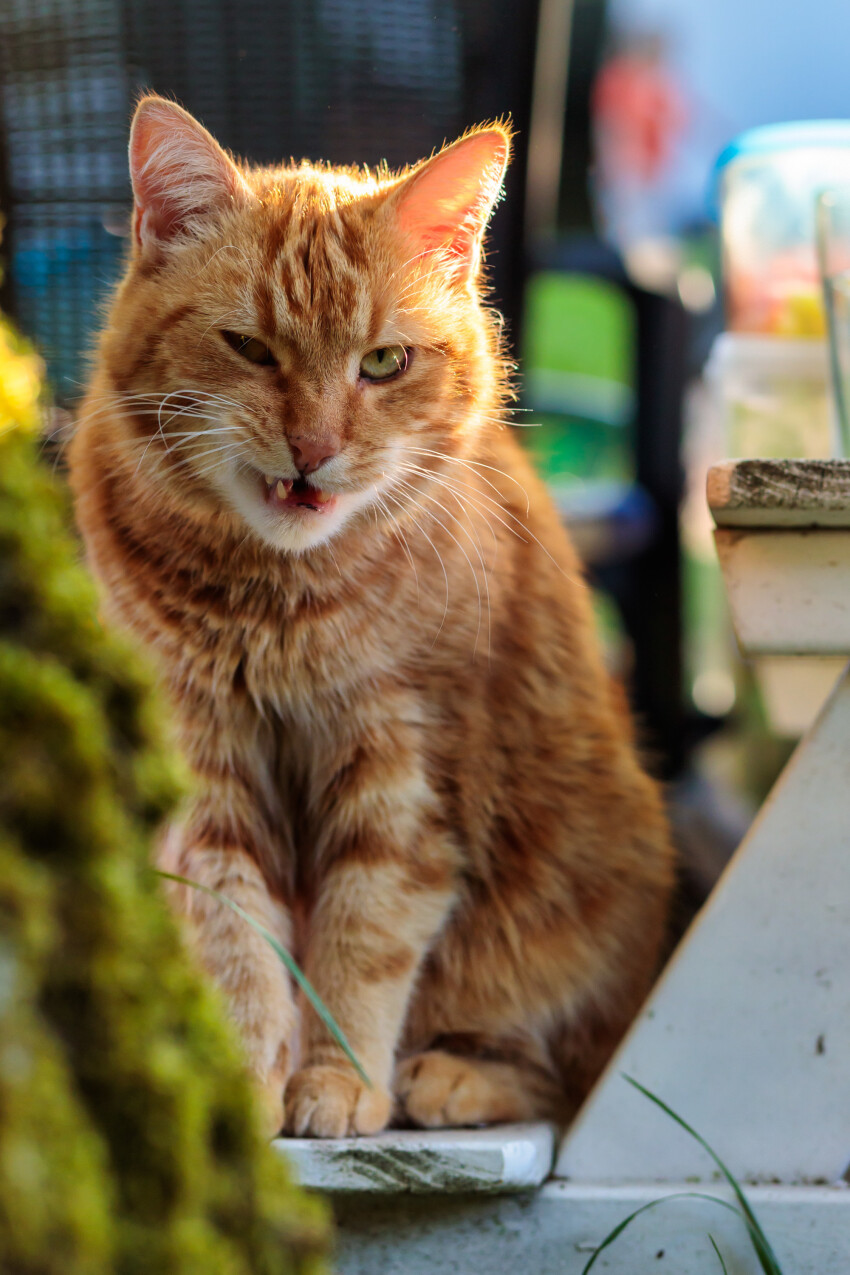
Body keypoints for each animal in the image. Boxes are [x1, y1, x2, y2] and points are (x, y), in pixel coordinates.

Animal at [69, 94, 672, 1142]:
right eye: (251, 348)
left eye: (383, 363)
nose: (313, 449)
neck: (272, 600)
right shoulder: (204, 760)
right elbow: (234, 935)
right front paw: (245, 1085)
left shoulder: (403, 765)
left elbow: (364, 938)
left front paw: (339, 1079)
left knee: (565, 1065)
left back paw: (448, 1077)